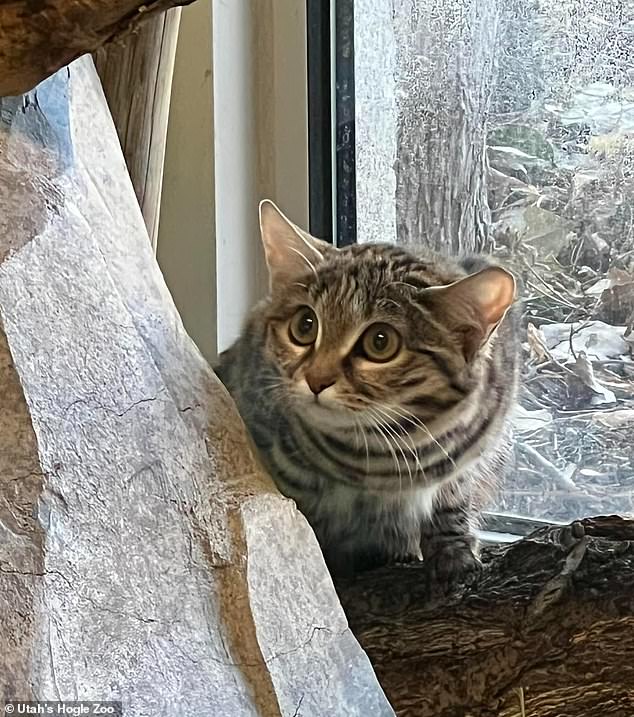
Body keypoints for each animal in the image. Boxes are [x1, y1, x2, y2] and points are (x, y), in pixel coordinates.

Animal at [215, 200, 516, 580]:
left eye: (380, 342)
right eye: (305, 325)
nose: (316, 379)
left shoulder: (473, 456)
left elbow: (453, 501)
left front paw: (453, 549)